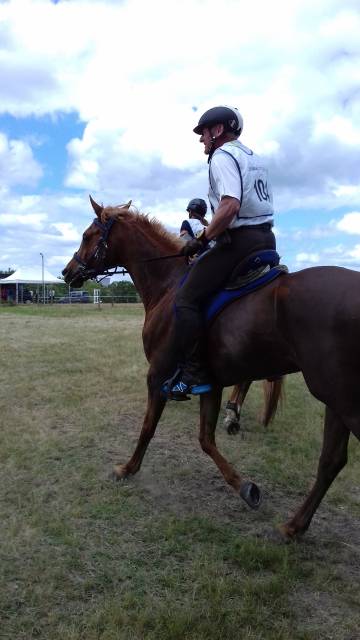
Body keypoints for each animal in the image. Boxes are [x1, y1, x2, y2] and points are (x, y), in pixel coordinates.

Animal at [64, 198, 360, 536]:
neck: (168, 284)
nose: (67, 272)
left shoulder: (157, 376)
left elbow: (148, 428)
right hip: (335, 400)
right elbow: (206, 440)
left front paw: (128, 468)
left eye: (87, 235)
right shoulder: (211, 384)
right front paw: (245, 487)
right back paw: (294, 526)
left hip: (343, 401)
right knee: (331, 460)